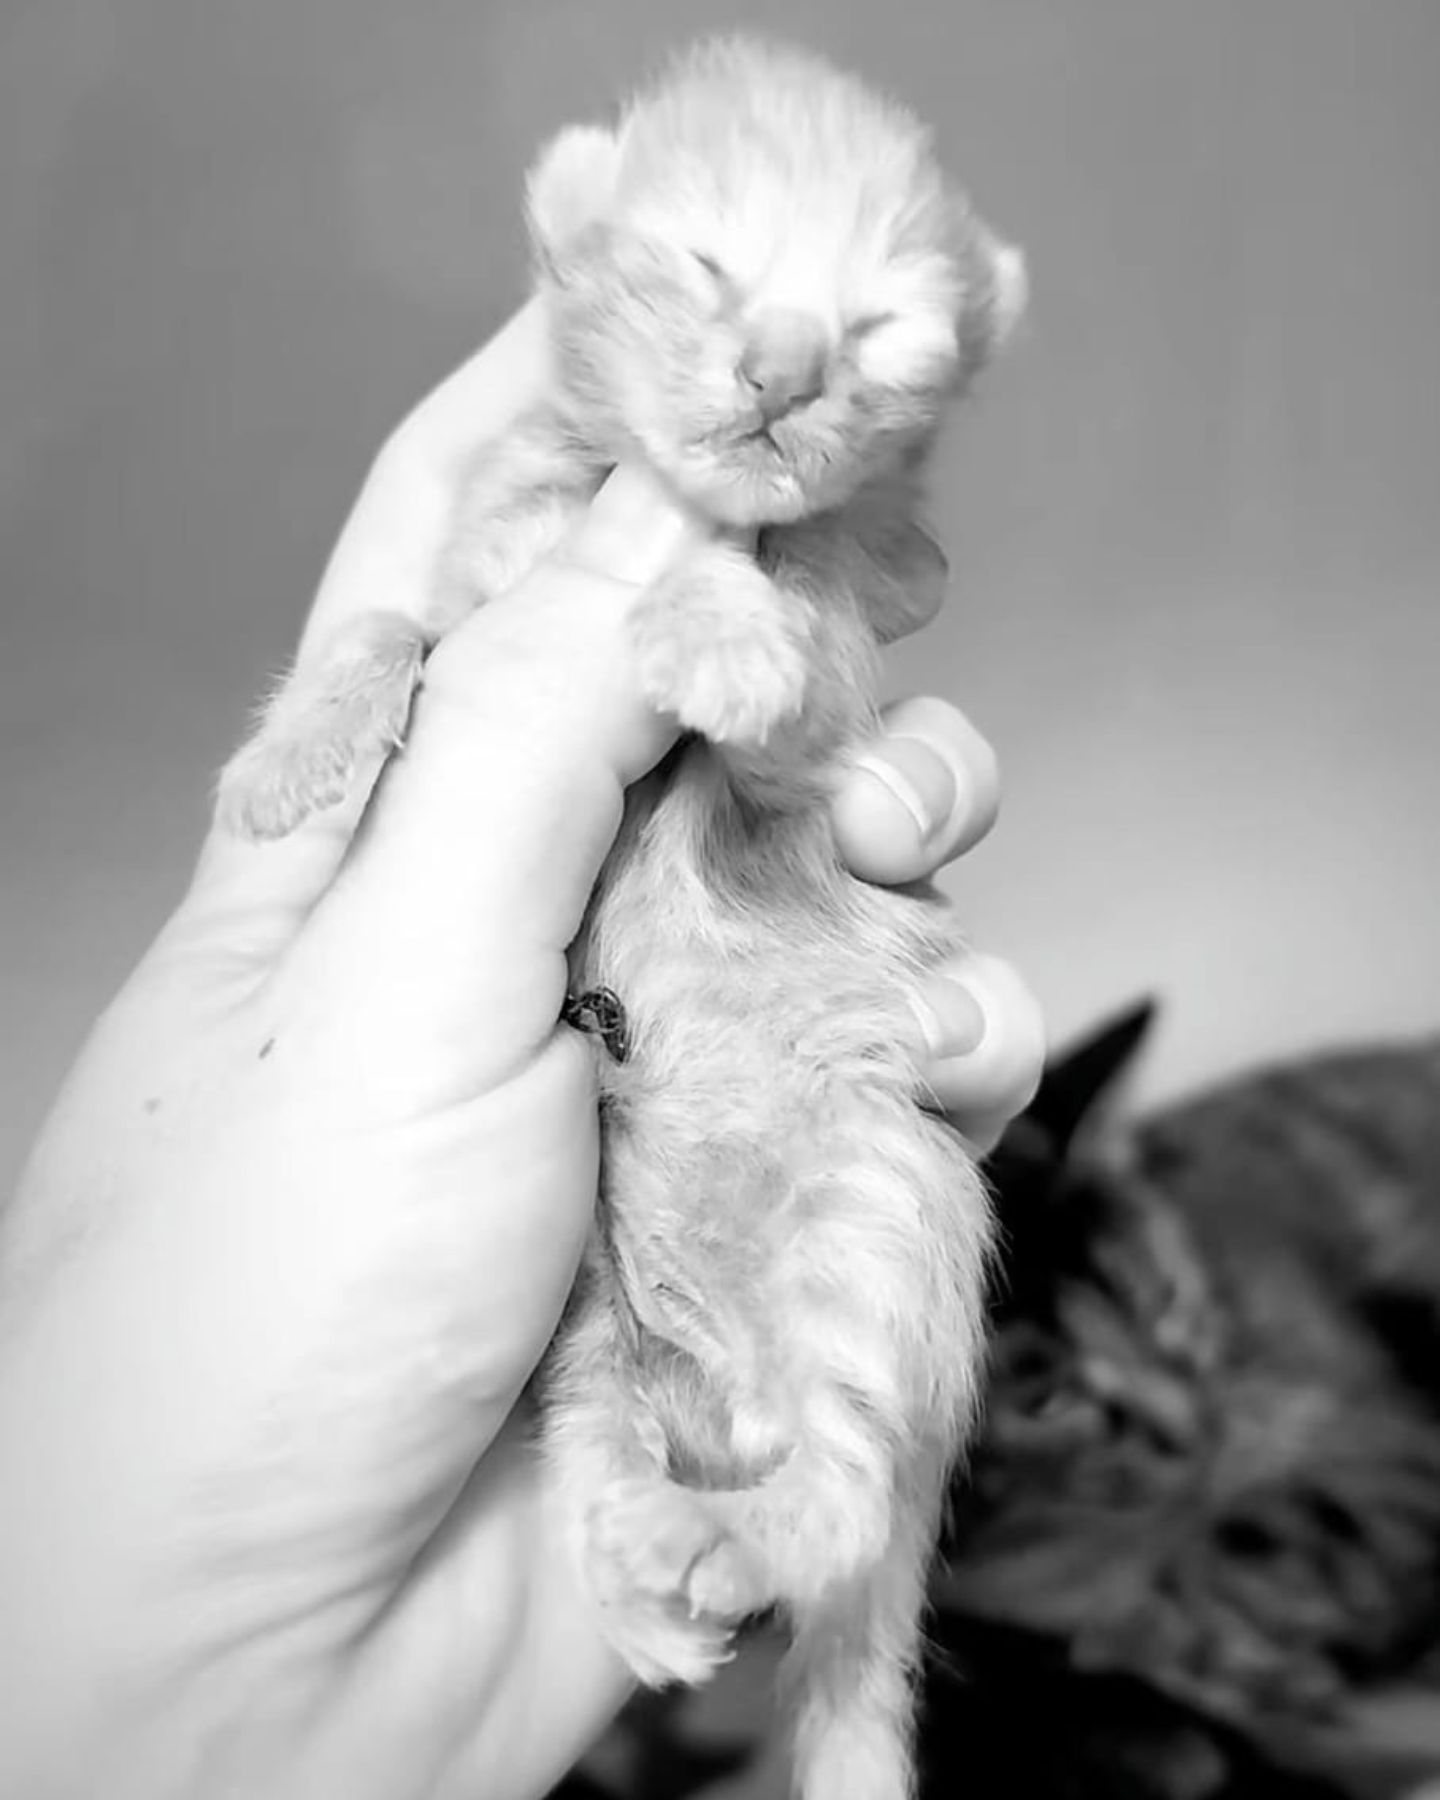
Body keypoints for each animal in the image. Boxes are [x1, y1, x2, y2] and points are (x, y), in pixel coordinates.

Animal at [216, 31, 1022, 1800]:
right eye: (709, 263)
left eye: (877, 327)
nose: (781, 373)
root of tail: (728, 1388)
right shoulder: (482, 589)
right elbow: (388, 625)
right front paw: (292, 761)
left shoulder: (828, 705)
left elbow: (776, 633)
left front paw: (708, 621)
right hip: (583, 1336)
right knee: (614, 1454)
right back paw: (642, 1583)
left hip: (881, 1232)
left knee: (841, 1498)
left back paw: (710, 1546)